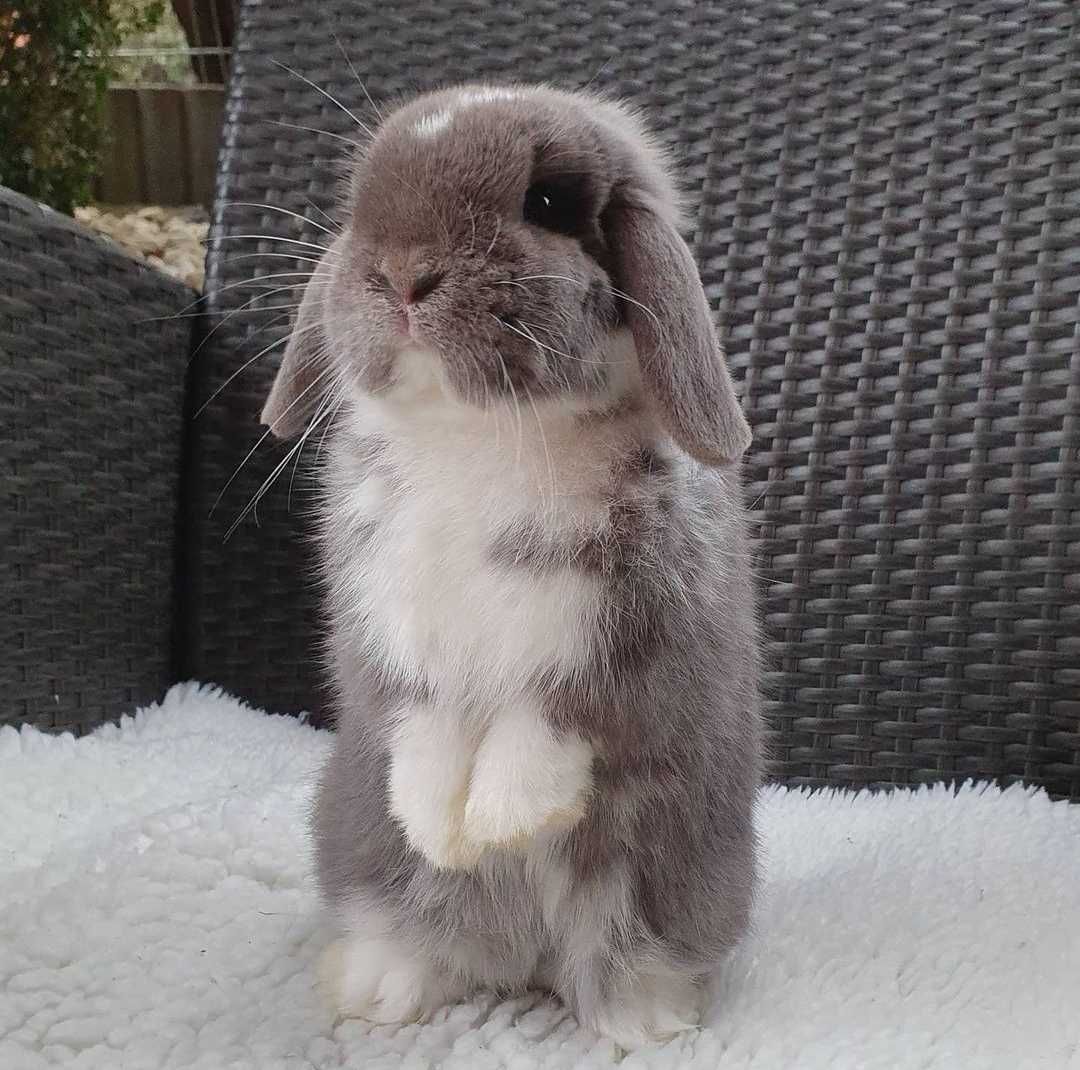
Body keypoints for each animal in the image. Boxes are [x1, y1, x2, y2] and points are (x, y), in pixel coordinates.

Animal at [258, 81, 764, 1045]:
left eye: (550, 202)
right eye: (358, 205)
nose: (402, 273)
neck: (479, 436)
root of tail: (522, 961)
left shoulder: (625, 638)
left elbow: (547, 720)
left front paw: (496, 822)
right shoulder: (382, 630)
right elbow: (420, 717)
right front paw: (439, 827)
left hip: (664, 874)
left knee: (620, 955)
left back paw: (647, 1019)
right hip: (364, 857)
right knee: (416, 930)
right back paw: (375, 988)